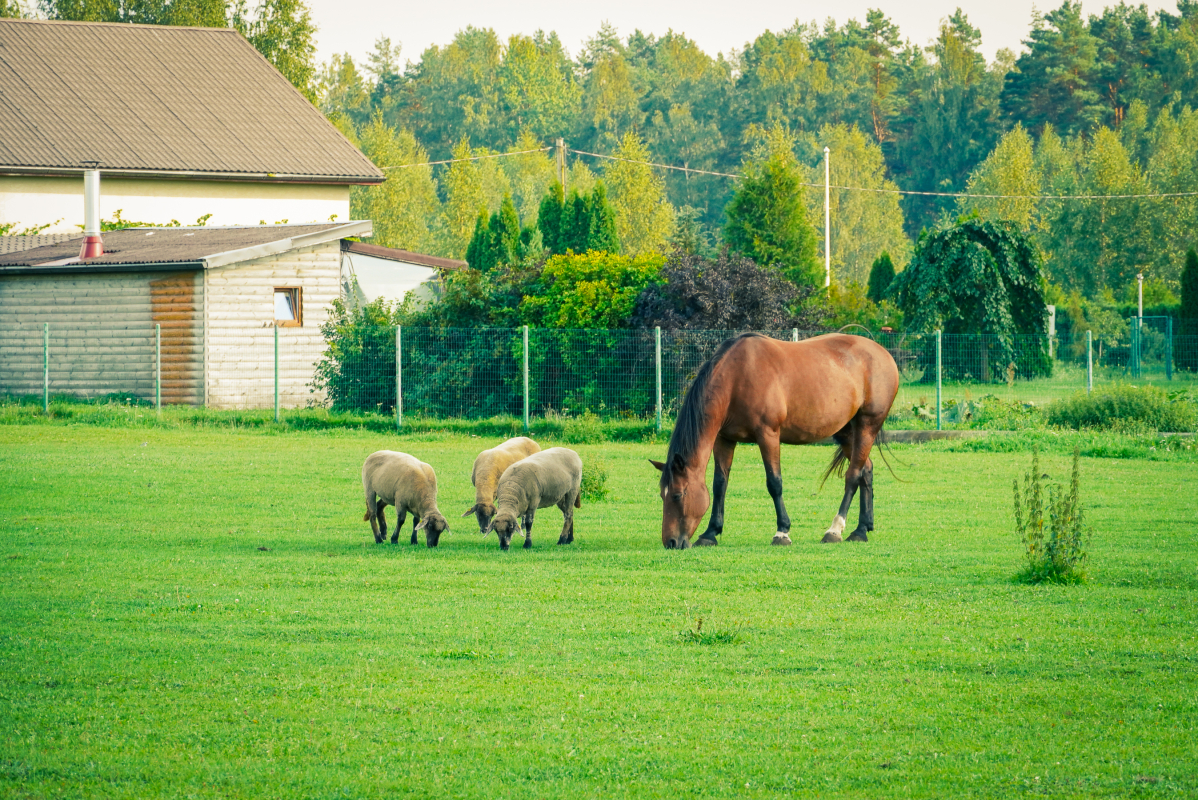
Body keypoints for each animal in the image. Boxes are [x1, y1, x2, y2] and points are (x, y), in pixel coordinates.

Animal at [656, 332, 900, 550]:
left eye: (677, 495)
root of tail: (882, 353)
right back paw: (862, 529)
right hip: (846, 431)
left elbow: (774, 482)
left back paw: (835, 530)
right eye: (661, 495)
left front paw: (782, 532)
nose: (671, 542)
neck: (737, 377)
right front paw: (710, 533)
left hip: (867, 425)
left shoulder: (768, 435)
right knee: (866, 469)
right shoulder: (724, 440)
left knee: (853, 475)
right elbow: (719, 484)